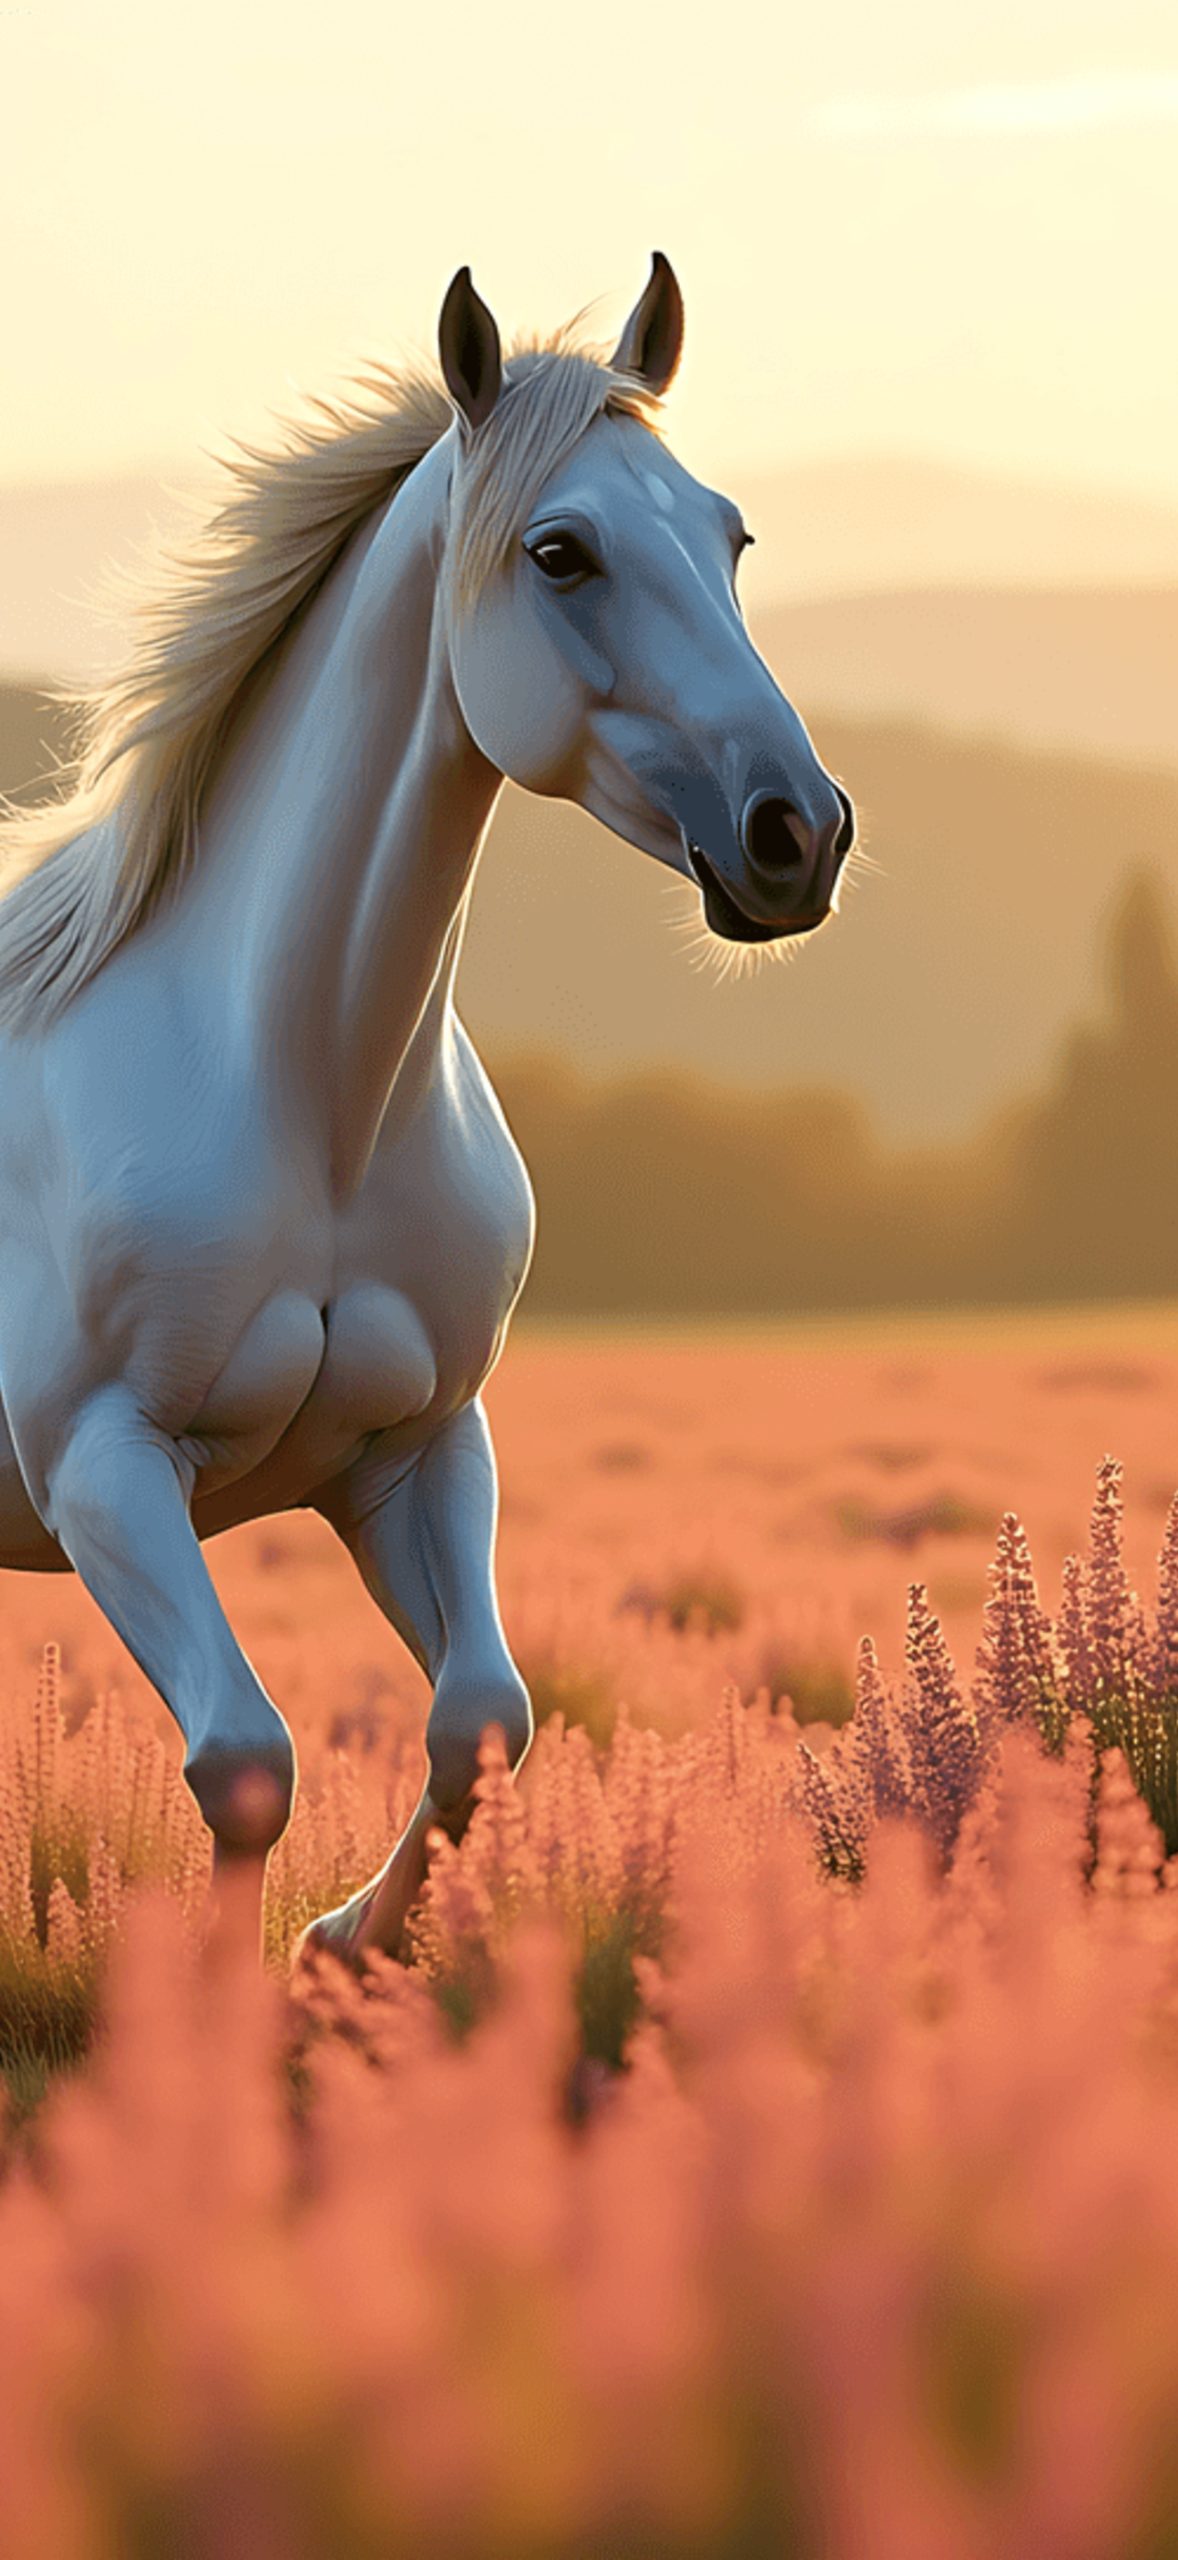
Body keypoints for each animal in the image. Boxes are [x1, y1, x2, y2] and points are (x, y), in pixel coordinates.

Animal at [0, 254, 856, 1958]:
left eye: (727, 533)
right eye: (559, 550)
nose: (797, 833)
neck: (304, 1092)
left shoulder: (416, 1449)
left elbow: (483, 1724)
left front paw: (347, 1946)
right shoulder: (102, 1471)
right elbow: (244, 1760)